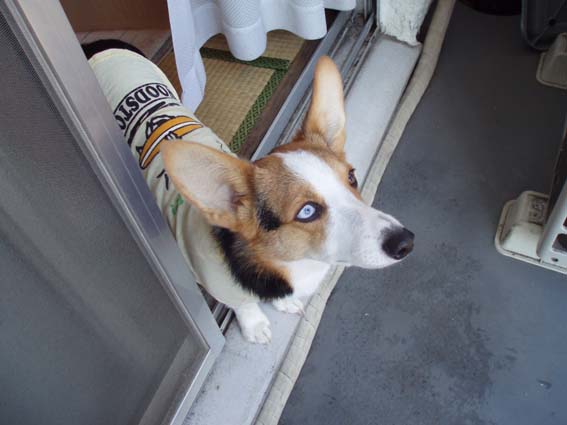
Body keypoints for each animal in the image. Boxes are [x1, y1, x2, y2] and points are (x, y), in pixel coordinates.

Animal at [85, 41, 414, 344]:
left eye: (351, 178)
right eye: (307, 211)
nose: (406, 242)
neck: (291, 262)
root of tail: (98, 44)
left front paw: (284, 301)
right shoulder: (222, 286)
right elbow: (244, 305)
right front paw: (255, 326)